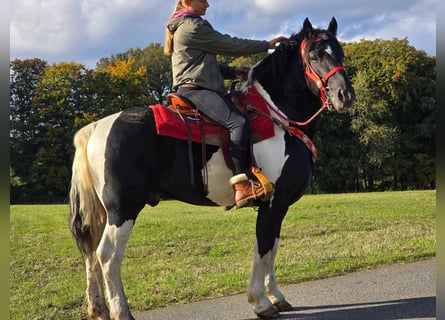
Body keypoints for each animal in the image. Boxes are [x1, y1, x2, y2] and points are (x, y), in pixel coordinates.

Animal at [68, 18, 354, 320]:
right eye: (314, 56)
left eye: (340, 53)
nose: (344, 95)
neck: (278, 117)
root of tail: (96, 127)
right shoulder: (273, 203)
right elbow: (263, 247)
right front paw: (261, 302)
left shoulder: (279, 205)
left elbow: (272, 247)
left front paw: (276, 296)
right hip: (123, 209)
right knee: (108, 256)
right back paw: (121, 311)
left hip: (104, 213)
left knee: (90, 253)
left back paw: (98, 308)